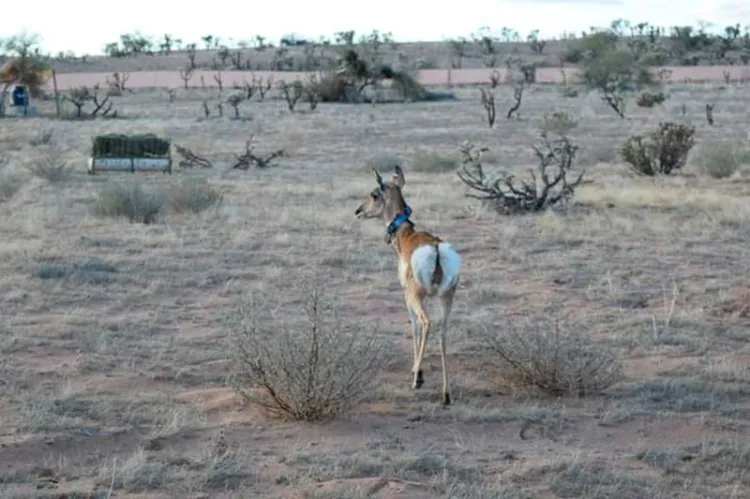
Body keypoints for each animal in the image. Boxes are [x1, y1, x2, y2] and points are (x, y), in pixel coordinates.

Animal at [354, 165, 464, 406]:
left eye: (374, 194)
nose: (358, 211)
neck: (408, 236)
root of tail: (435, 248)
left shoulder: (406, 296)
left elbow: (413, 326)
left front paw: (417, 373)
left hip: (417, 297)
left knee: (425, 323)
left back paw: (417, 381)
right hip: (446, 298)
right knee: (442, 334)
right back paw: (446, 394)